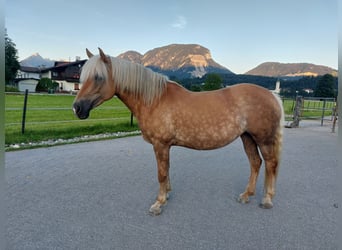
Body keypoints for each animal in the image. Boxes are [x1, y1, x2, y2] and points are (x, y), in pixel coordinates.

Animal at [73, 48, 284, 215]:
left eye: (98, 77)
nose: (77, 108)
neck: (154, 99)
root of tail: (272, 95)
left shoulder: (160, 144)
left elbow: (161, 173)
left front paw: (158, 203)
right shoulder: (165, 146)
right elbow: (166, 170)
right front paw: (166, 194)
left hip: (263, 139)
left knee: (271, 164)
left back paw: (267, 199)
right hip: (247, 137)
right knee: (256, 163)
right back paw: (246, 195)